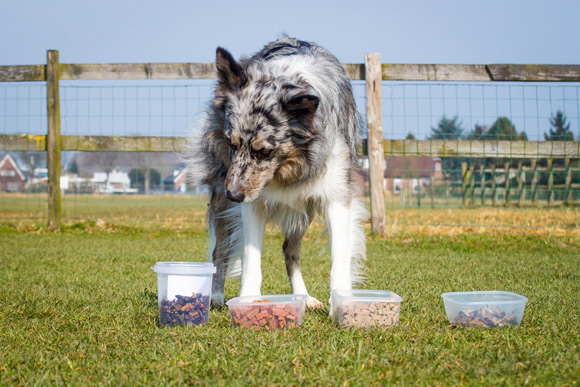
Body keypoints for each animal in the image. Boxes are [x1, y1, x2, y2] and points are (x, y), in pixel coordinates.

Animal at [186, 36, 368, 312]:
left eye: (264, 151)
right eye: (231, 143)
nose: (233, 195)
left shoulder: (336, 197)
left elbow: (339, 263)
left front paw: (341, 305)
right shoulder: (251, 203)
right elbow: (251, 262)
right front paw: (248, 302)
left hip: (303, 210)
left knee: (290, 251)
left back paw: (303, 296)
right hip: (220, 197)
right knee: (220, 251)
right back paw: (215, 296)